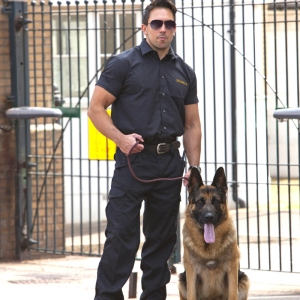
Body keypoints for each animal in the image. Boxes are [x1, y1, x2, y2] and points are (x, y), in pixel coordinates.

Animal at [178, 166, 251, 300]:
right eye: (200, 201)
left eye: (216, 201)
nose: (209, 217)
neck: (208, 247)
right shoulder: (191, 273)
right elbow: (192, 295)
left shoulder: (231, 270)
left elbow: (232, 295)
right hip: (182, 281)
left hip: (244, 280)